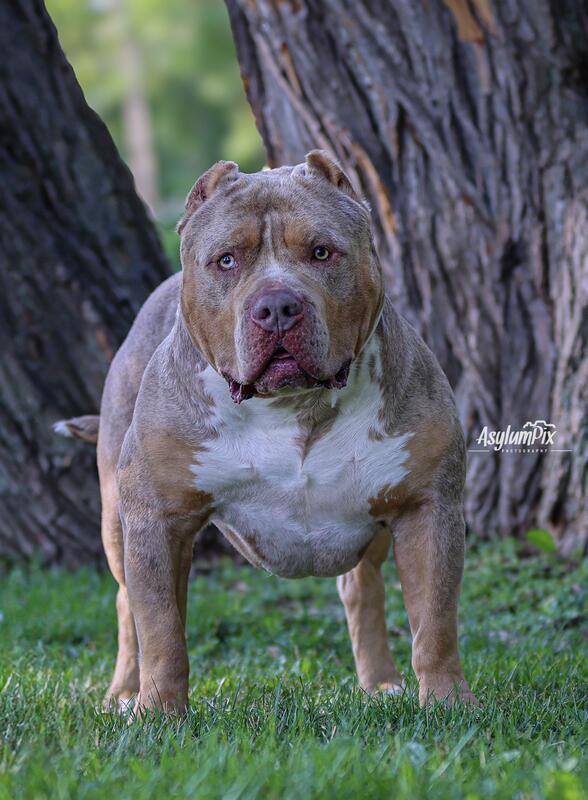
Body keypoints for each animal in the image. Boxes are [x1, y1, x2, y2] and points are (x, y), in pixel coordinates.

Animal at [55, 150, 477, 713]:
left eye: (321, 252)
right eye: (226, 260)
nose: (277, 306)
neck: (292, 407)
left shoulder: (426, 507)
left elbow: (435, 624)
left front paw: (449, 702)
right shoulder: (156, 520)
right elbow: (162, 632)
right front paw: (159, 712)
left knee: (362, 587)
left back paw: (381, 683)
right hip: (115, 523)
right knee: (127, 606)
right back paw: (124, 691)